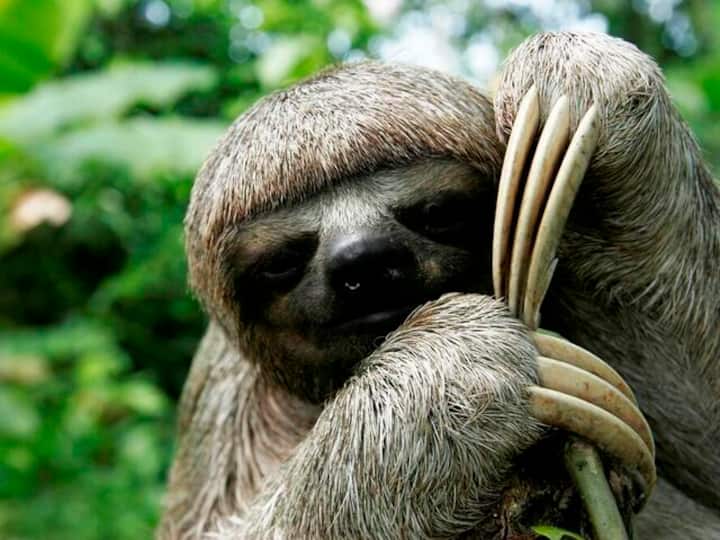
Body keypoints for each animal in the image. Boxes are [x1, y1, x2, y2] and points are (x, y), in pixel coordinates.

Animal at [157, 32, 720, 539]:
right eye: (282, 260)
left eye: (437, 212)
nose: (364, 258)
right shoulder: (220, 391)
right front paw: (448, 374)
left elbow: (703, 439)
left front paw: (581, 76)